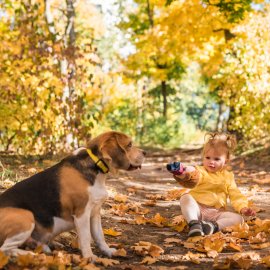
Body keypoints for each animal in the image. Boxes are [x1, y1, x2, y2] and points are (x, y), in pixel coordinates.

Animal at [0, 131, 146, 260]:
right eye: (129, 145)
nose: (145, 152)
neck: (96, 166)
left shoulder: (95, 213)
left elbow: (99, 236)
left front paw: (108, 251)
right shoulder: (82, 213)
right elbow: (86, 237)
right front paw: (89, 257)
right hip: (26, 216)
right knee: (5, 250)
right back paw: (30, 255)